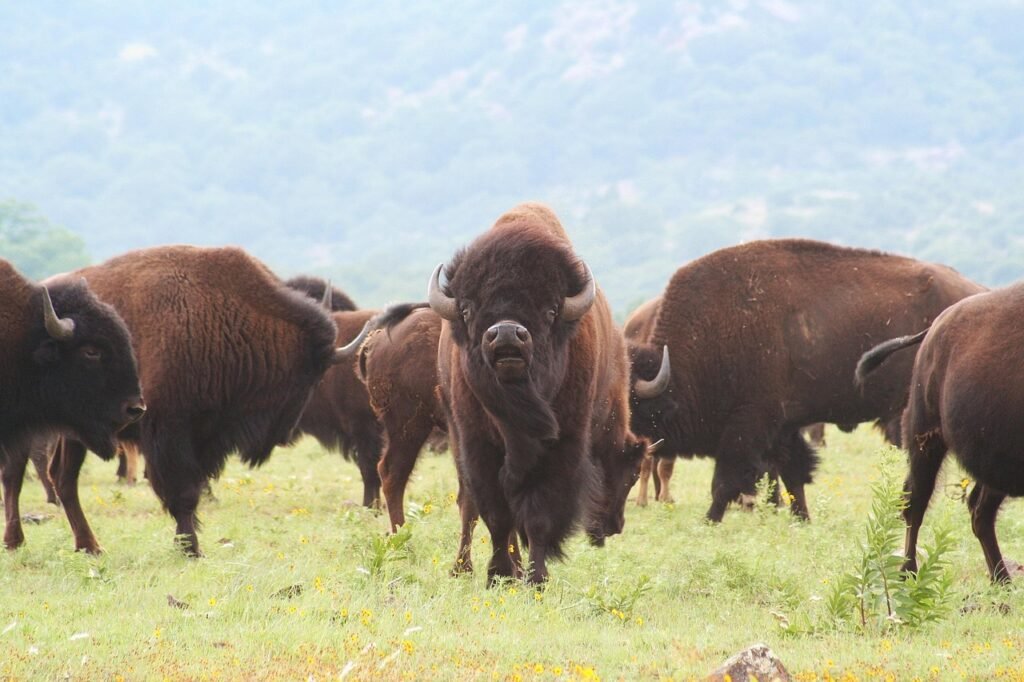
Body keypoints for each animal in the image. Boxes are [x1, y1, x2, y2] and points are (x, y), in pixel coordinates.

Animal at [431, 203, 652, 584]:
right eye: (467, 309)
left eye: (550, 310)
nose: (506, 333)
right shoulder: (478, 447)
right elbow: (497, 516)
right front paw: (498, 575)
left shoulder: (562, 447)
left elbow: (537, 517)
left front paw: (535, 578)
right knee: (470, 506)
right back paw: (467, 568)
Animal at [628, 239, 984, 522]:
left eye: (632, 406)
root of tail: (976, 292)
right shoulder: (782, 428)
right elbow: (792, 474)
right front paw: (801, 518)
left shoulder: (747, 426)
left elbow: (726, 481)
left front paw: (710, 520)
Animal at [856, 283, 1019, 583]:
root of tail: (934, 328)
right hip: (925, 441)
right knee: (916, 503)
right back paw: (909, 572)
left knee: (979, 510)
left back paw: (1001, 580)